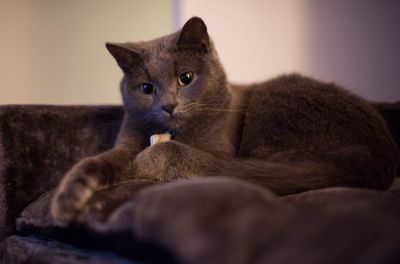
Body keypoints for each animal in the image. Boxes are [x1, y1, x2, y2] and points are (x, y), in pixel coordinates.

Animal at [50, 16, 400, 223]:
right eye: (146, 88)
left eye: (185, 78)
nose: (168, 105)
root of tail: (379, 157)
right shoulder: (127, 140)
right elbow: (95, 162)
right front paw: (67, 202)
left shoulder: (220, 151)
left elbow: (195, 158)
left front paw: (150, 159)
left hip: (274, 106)